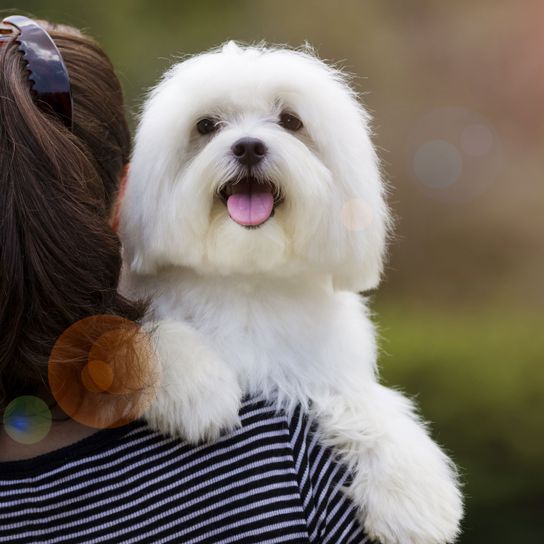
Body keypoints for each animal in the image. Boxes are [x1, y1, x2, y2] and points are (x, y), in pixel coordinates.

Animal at [119, 42, 464, 544]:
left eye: (290, 121)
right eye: (205, 125)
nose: (247, 146)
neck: (247, 276)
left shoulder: (320, 366)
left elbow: (369, 402)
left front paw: (414, 496)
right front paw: (197, 390)